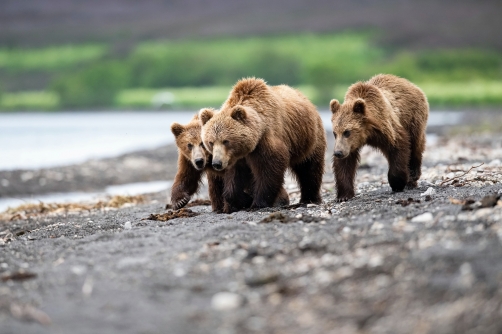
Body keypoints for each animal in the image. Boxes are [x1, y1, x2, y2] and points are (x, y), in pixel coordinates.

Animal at [199, 78, 326, 209]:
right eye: (211, 142)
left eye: (226, 141)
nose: (217, 163)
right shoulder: (234, 158)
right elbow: (233, 180)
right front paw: (244, 200)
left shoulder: (265, 142)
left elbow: (269, 168)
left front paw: (258, 202)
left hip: (309, 138)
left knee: (309, 168)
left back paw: (309, 199)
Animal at [330, 73, 432, 201]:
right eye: (334, 133)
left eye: (347, 132)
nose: (338, 153)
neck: (368, 132)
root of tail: (411, 84)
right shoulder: (350, 145)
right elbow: (345, 164)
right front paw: (343, 196)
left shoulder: (388, 128)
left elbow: (399, 145)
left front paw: (397, 183)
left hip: (413, 118)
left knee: (416, 145)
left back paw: (413, 176)